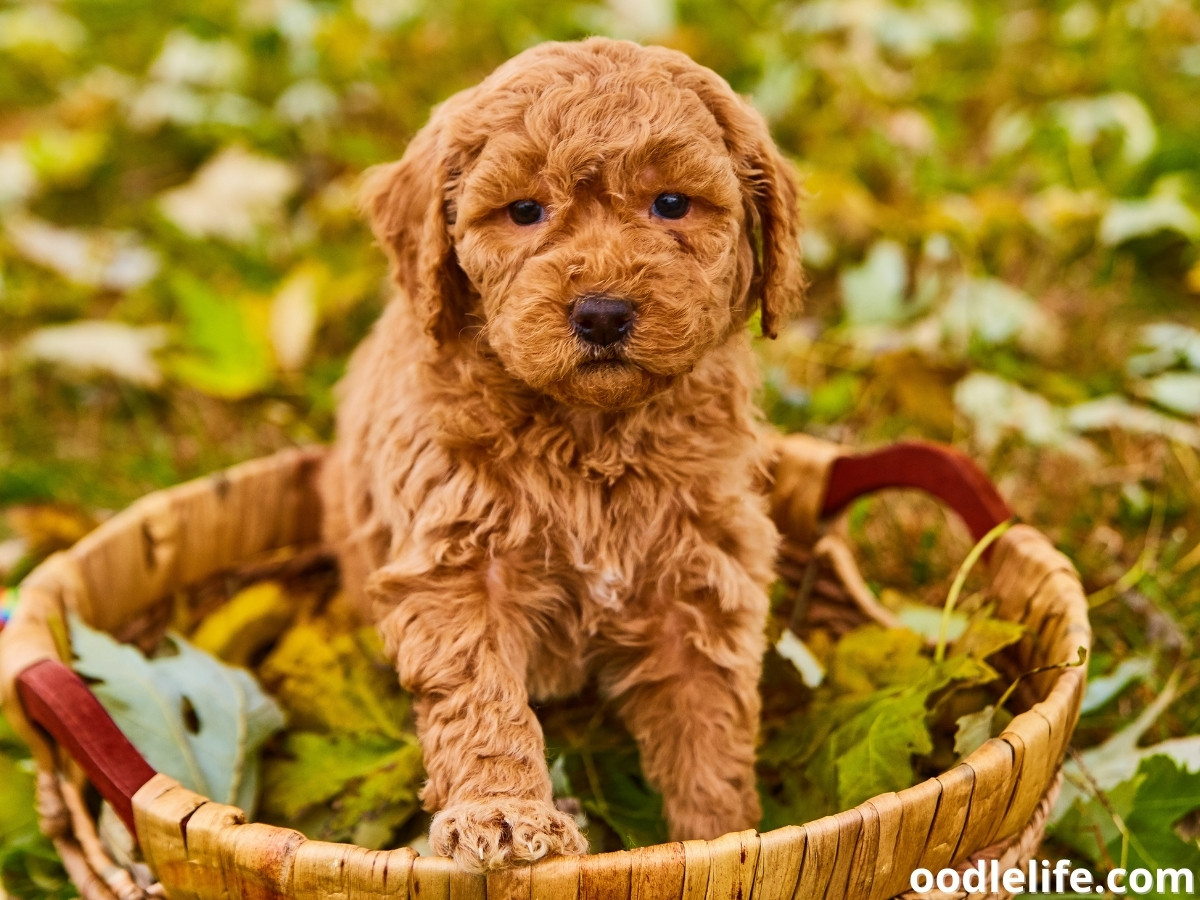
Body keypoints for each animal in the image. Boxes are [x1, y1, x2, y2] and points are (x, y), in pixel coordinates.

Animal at [324, 37, 801, 873]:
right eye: (524, 211)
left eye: (671, 204)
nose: (602, 313)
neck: (590, 436)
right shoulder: (457, 564)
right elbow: (482, 697)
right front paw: (503, 812)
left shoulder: (697, 581)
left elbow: (708, 728)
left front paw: (722, 836)